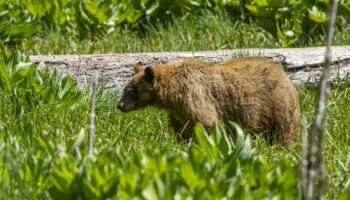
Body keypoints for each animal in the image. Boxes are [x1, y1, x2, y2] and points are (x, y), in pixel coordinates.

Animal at [118, 57, 300, 146]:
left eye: (132, 90)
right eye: (125, 88)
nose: (120, 105)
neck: (173, 94)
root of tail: (285, 76)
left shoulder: (194, 97)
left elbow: (205, 125)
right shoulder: (178, 113)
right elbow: (181, 131)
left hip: (277, 106)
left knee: (283, 131)